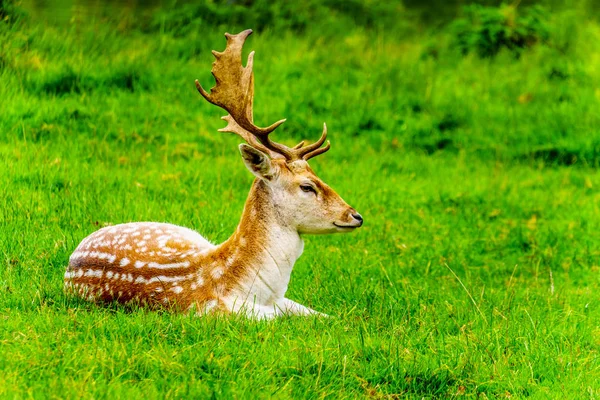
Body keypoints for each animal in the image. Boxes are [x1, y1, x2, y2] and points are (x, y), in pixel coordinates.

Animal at [66, 28, 366, 318]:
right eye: (307, 186)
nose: (355, 216)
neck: (260, 292)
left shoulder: (283, 300)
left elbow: (324, 316)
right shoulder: (215, 312)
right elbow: (278, 319)